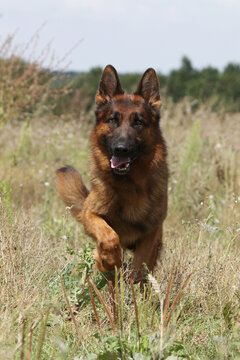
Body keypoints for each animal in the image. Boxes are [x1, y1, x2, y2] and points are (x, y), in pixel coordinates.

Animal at [57, 66, 168, 282]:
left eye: (138, 122)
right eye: (113, 120)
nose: (121, 149)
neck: (129, 185)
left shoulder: (151, 233)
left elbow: (139, 269)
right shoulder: (90, 213)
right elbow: (109, 236)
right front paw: (109, 260)